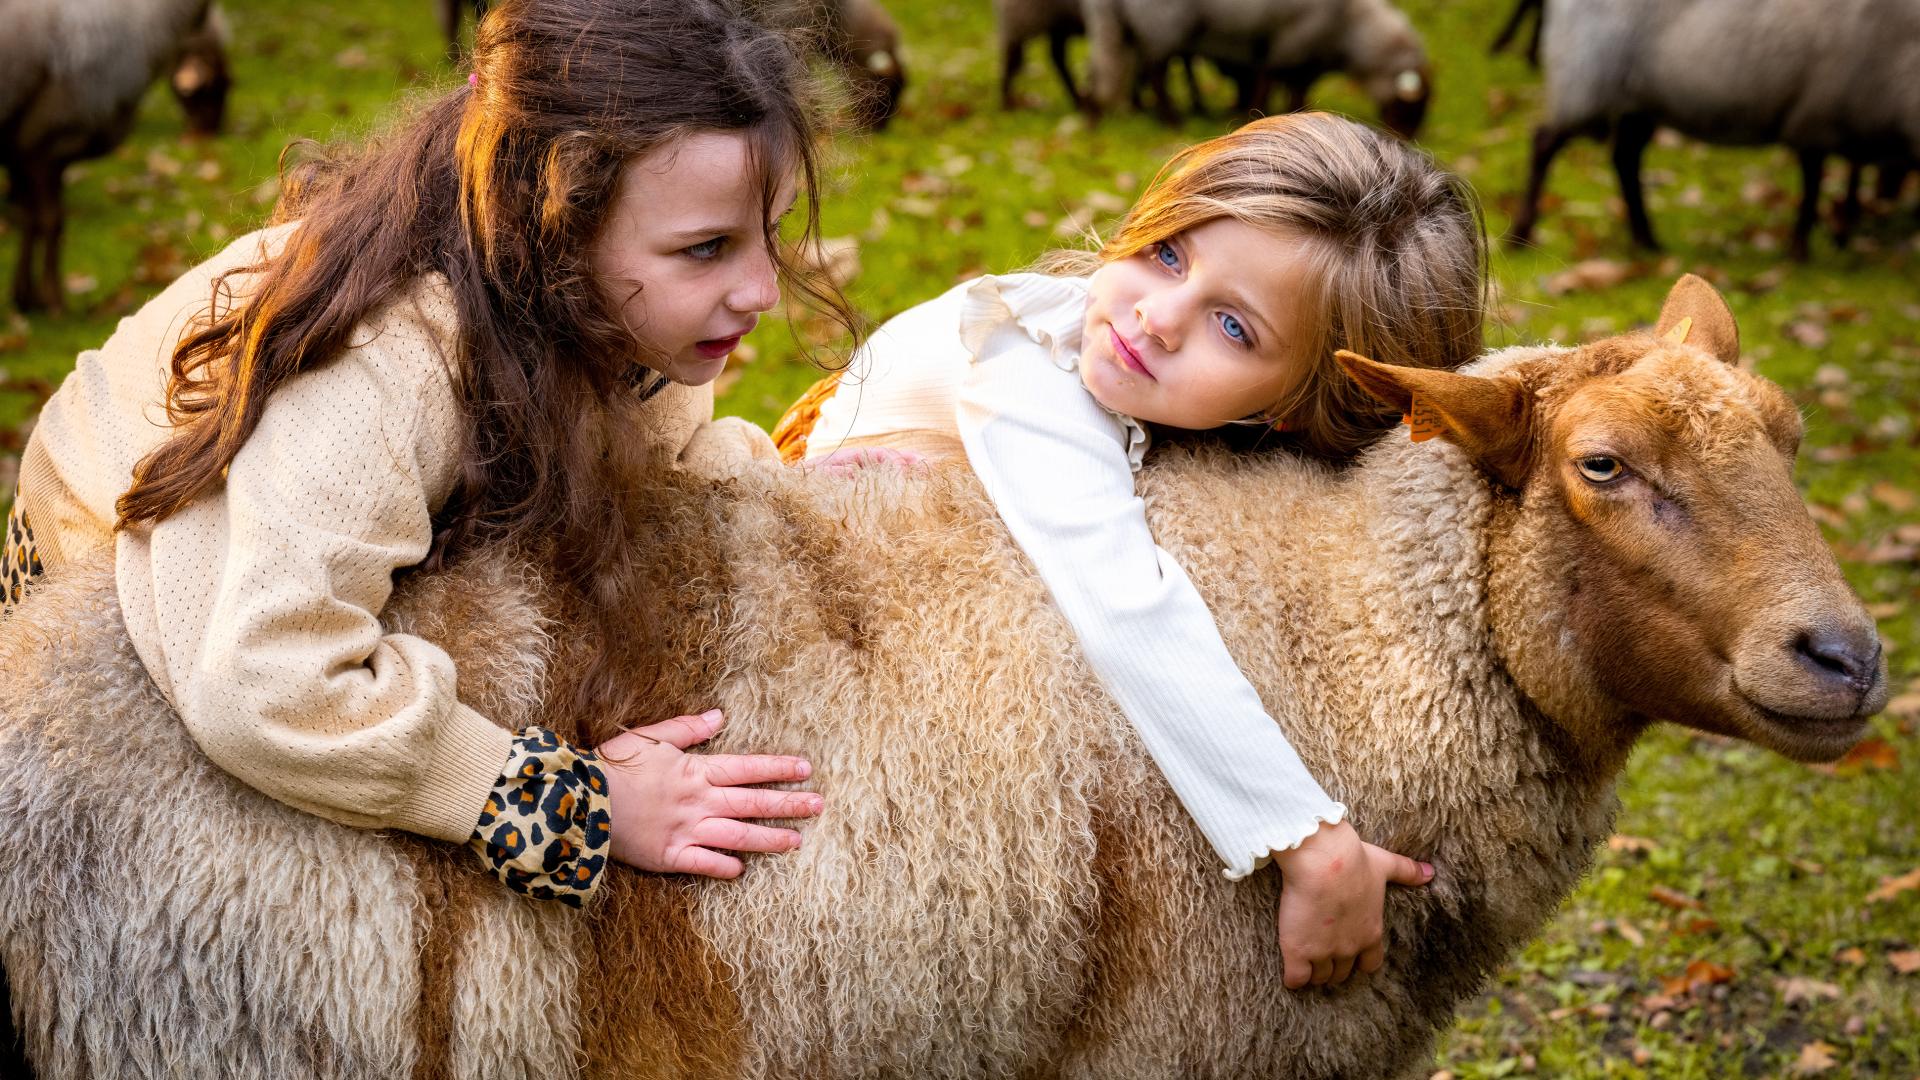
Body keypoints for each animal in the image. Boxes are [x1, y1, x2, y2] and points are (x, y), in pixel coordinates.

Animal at [2, 0, 231, 311]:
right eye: (216, 85)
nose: (213, 130)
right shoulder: (46, 140)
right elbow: (48, 222)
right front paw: (52, 300)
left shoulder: (24, 148)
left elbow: (29, 219)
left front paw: (25, 295)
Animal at [1082, 0, 1428, 135]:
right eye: (1409, 107)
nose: (1406, 138)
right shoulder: (1290, 47)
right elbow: (1279, 85)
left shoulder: (1299, 56)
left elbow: (1284, 87)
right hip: (1163, 27)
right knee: (1156, 72)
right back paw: (1172, 120)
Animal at [1505, 0, 1920, 259]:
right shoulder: (1817, 115)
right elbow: (1815, 180)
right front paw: (1803, 248)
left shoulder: (1845, 121)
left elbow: (1845, 175)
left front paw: (1843, 232)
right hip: (1587, 81)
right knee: (1545, 142)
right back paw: (1520, 234)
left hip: (1640, 99)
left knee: (1625, 158)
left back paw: (1646, 239)